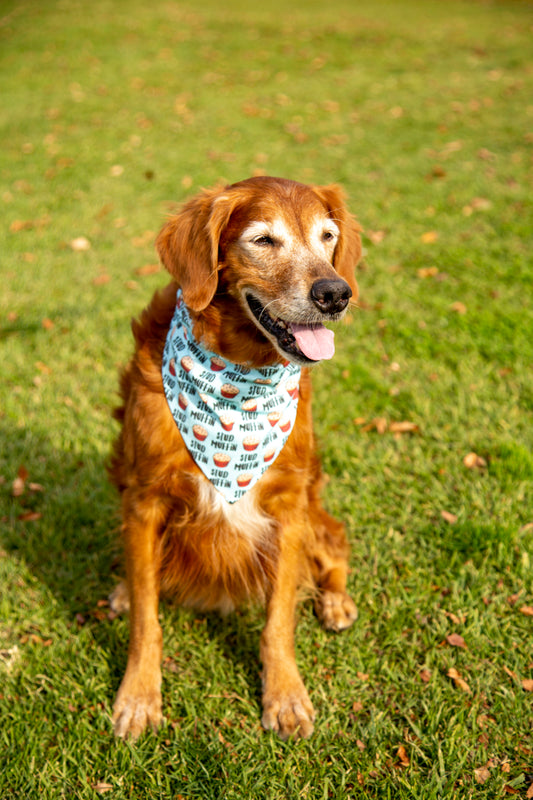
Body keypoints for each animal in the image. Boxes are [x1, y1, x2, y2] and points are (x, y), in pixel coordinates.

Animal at [109, 178, 362, 740]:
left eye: (327, 236)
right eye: (263, 240)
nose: (335, 293)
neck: (239, 372)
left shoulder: (289, 508)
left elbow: (278, 620)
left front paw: (284, 695)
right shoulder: (143, 501)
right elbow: (146, 618)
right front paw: (138, 696)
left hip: (316, 513)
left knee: (334, 550)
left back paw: (336, 601)